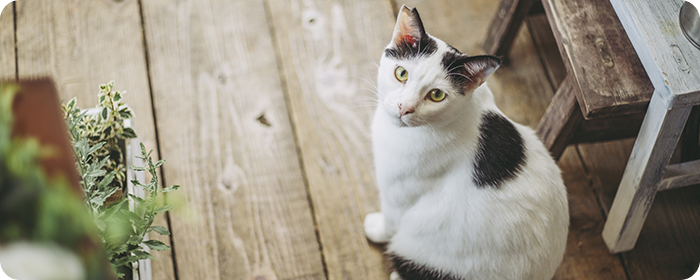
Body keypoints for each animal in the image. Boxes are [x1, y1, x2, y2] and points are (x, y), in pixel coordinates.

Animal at [364, 4, 572, 280]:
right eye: (401, 73)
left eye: (436, 95)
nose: (404, 108)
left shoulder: (399, 196)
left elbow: (390, 221)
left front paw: (375, 229)